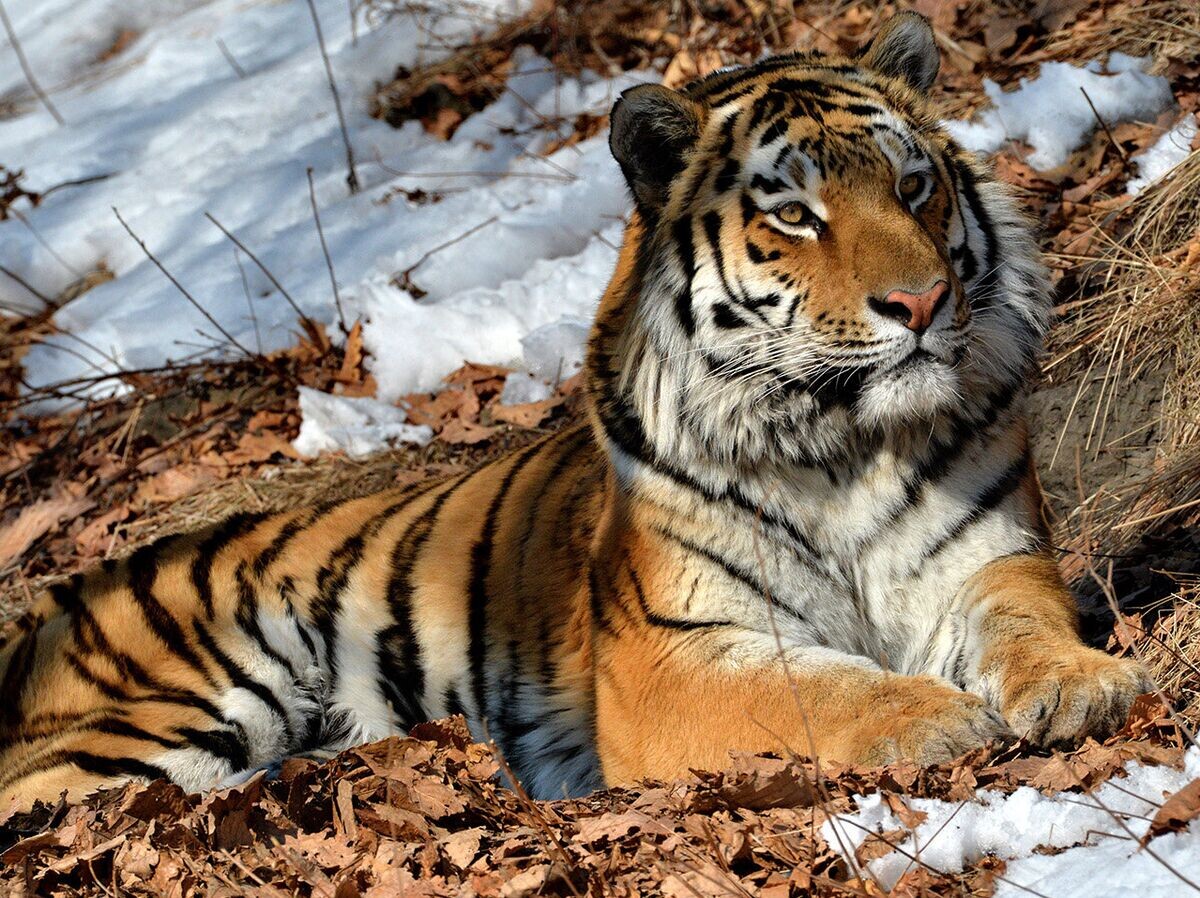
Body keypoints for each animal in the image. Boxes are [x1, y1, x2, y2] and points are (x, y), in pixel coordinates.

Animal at [0, 13, 1152, 812]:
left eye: (913, 186)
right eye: (794, 214)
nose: (921, 302)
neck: (838, 443)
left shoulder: (991, 559)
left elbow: (1024, 624)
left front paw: (1081, 684)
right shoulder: (673, 653)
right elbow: (818, 689)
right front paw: (930, 717)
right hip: (169, 715)